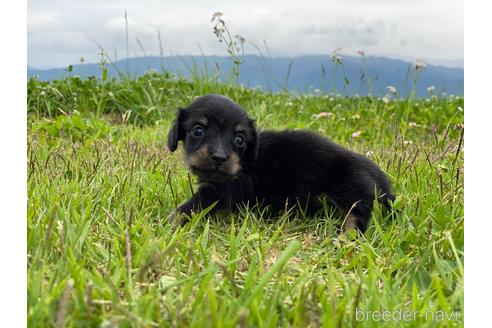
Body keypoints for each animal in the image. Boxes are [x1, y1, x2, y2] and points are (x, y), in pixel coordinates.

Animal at [167, 93, 394, 232]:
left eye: (239, 140)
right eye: (198, 130)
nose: (219, 158)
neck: (246, 161)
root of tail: (376, 173)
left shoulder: (218, 192)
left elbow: (188, 207)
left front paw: (168, 222)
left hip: (350, 192)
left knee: (357, 218)